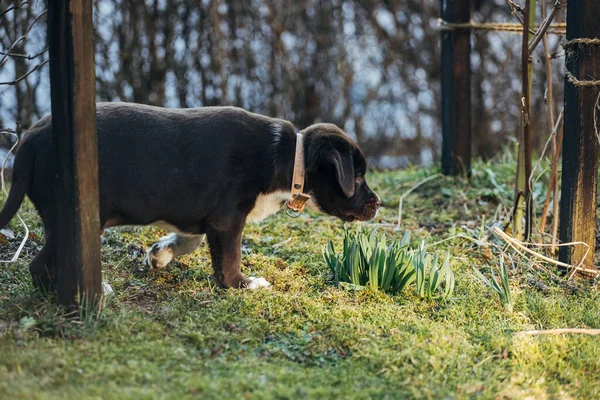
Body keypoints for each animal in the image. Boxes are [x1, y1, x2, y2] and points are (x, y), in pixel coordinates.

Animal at [1, 103, 380, 290]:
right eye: (358, 176)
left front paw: (160, 254)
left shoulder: (200, 214)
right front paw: (243, 285)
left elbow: (192, 239)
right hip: (75, 216)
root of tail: (30, 138)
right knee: (40, 265)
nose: (378, 204)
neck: (290, 157)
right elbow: (229, 259)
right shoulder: (228, 219)